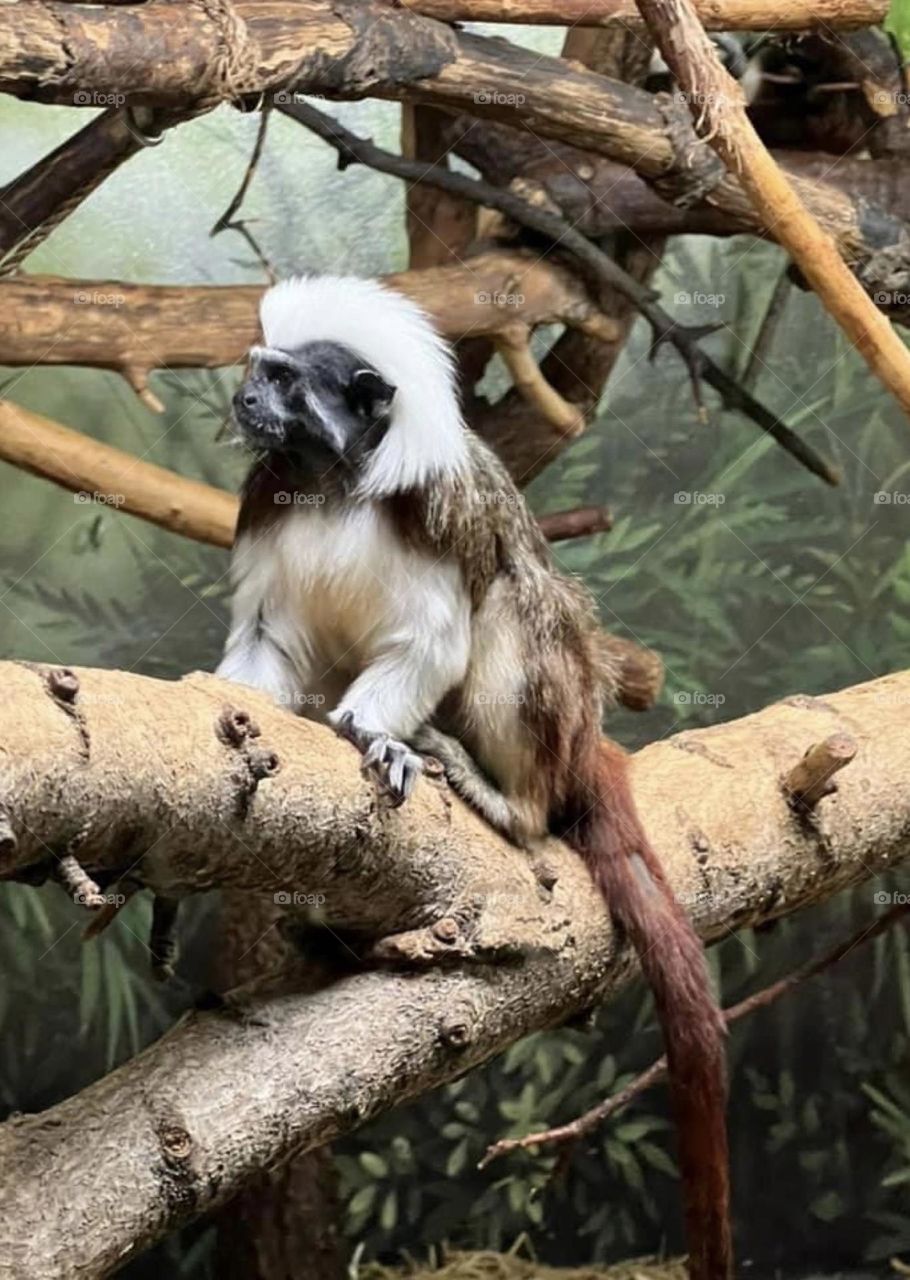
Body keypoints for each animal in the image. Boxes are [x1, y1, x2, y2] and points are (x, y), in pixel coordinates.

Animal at [217, 274, 732, 1280]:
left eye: (287, 381)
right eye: (258, 371)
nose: (243, 397)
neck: (335, 485)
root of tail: (588, 742)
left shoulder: (438, 510)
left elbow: (435, 641)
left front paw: (378, 736)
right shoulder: (267, 502)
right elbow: (267, 646)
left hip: (557, 708)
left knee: (515, 606)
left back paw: (510, 801)